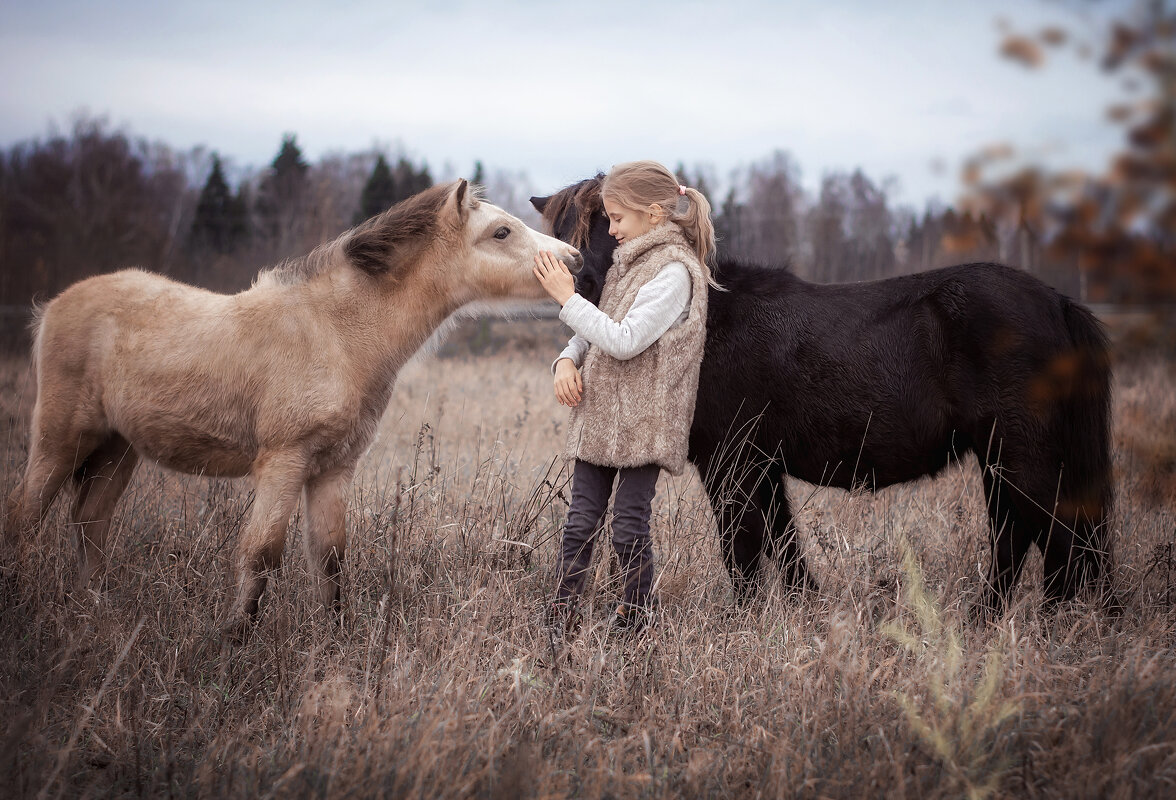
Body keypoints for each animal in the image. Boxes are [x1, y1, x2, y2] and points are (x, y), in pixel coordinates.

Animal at [531, 175, 1110, 611]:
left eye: (607, 223)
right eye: (557, 230)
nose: (581, 292)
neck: (712, 317)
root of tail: (1057, 301)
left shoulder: (732, 462)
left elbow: (742, 543)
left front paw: (746, 618)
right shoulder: (760, 463)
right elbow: (781, 540)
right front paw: (804, 609)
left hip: (1019, 457)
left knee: (1053, 536)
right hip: (1002, 458)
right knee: (1026, 537)